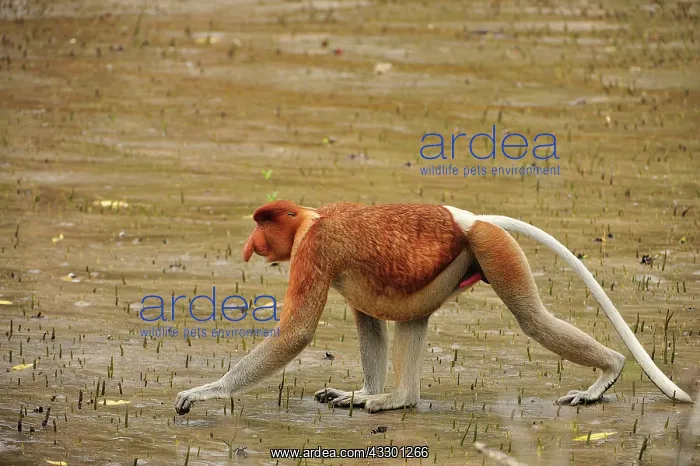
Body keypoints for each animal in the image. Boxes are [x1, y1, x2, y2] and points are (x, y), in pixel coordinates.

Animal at [174, 200, 692, 415]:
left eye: (263, 223)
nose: (251, 243)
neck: (311, 218)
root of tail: (473, 219)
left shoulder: (314, 250)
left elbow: (296, 333)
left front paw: (204, 392)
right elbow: (366, 316)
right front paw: (358, 390)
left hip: (491, 248)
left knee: (532, 319)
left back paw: (609, 372)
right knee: (406, 315)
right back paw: (385, 396)